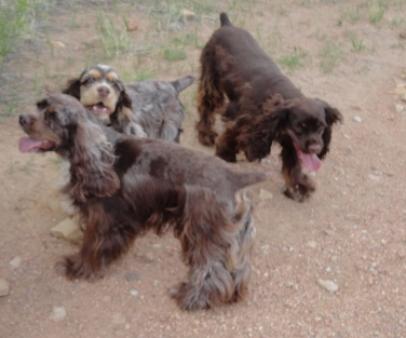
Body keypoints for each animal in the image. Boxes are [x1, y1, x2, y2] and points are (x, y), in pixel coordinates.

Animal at [19, 93, 266, 310]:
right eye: (39, 105)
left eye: (52, 117)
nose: (21, 117)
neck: (99, 157)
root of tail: (235, 177)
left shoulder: (102, 220)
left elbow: (89, 247)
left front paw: (79, 269)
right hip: (233, 237)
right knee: (239, 269)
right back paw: (232, 295)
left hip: (204, 232)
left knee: (211, 269)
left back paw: (192, 298)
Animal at [197, 13, 342, 202]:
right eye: (300, 126)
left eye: (321, 127)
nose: (315, 149)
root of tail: (226, 25)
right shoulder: (244, 120)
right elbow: (229, 137)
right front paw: (225, 155)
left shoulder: (290, 141)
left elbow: (293, 164)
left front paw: (298, 186)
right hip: (211, 79)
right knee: (206, 105)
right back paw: (205, 134)